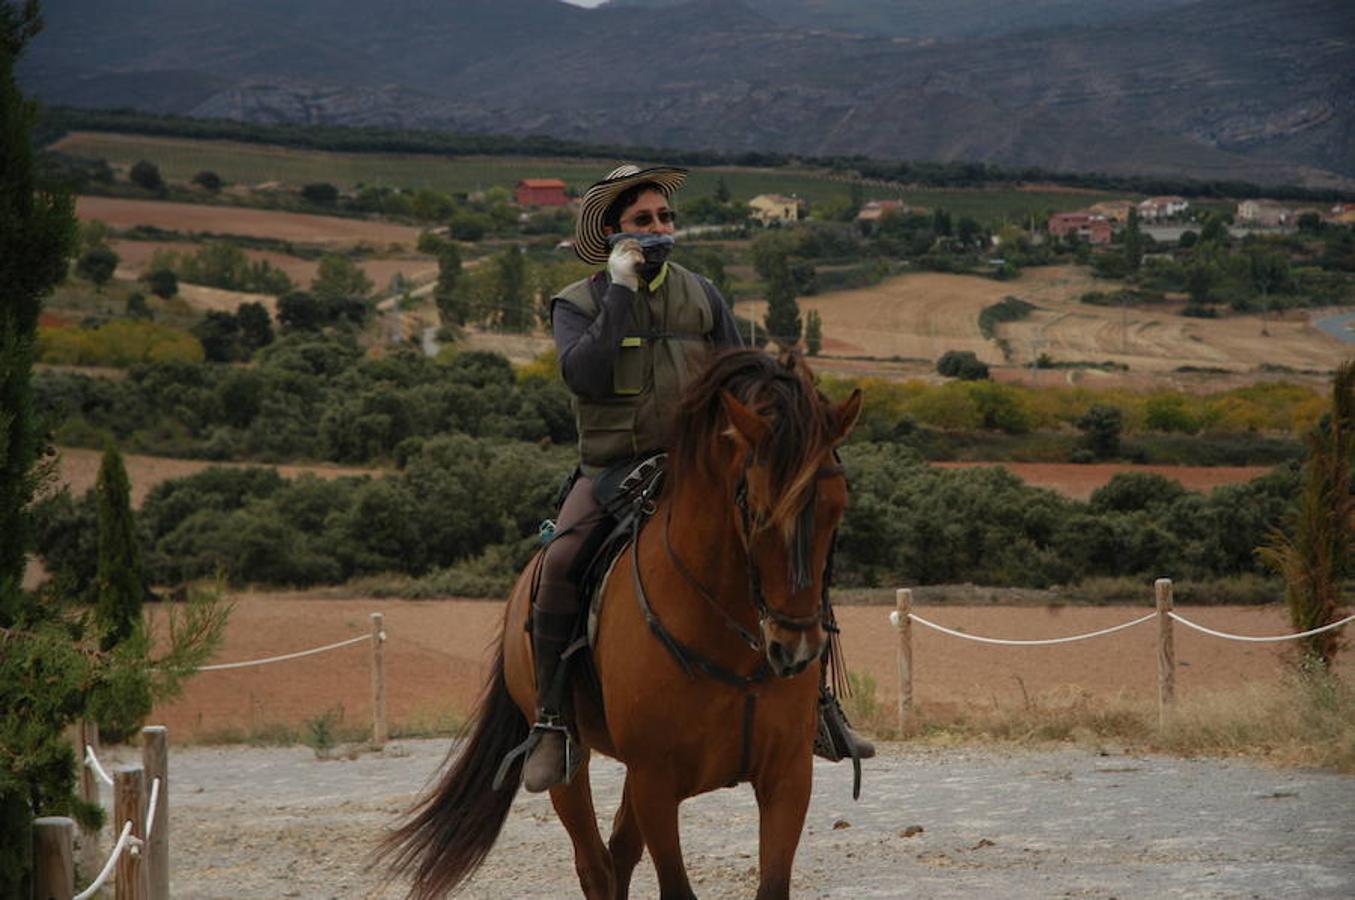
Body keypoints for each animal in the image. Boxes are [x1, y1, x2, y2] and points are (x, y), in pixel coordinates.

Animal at [379, 346, 867, 894]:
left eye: (836, 508)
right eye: (757, 510)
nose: (795, 649)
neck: (730, 641)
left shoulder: (787, 778)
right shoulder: (656, 782)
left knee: (619, 853)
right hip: (574, 769)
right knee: (594, 864)